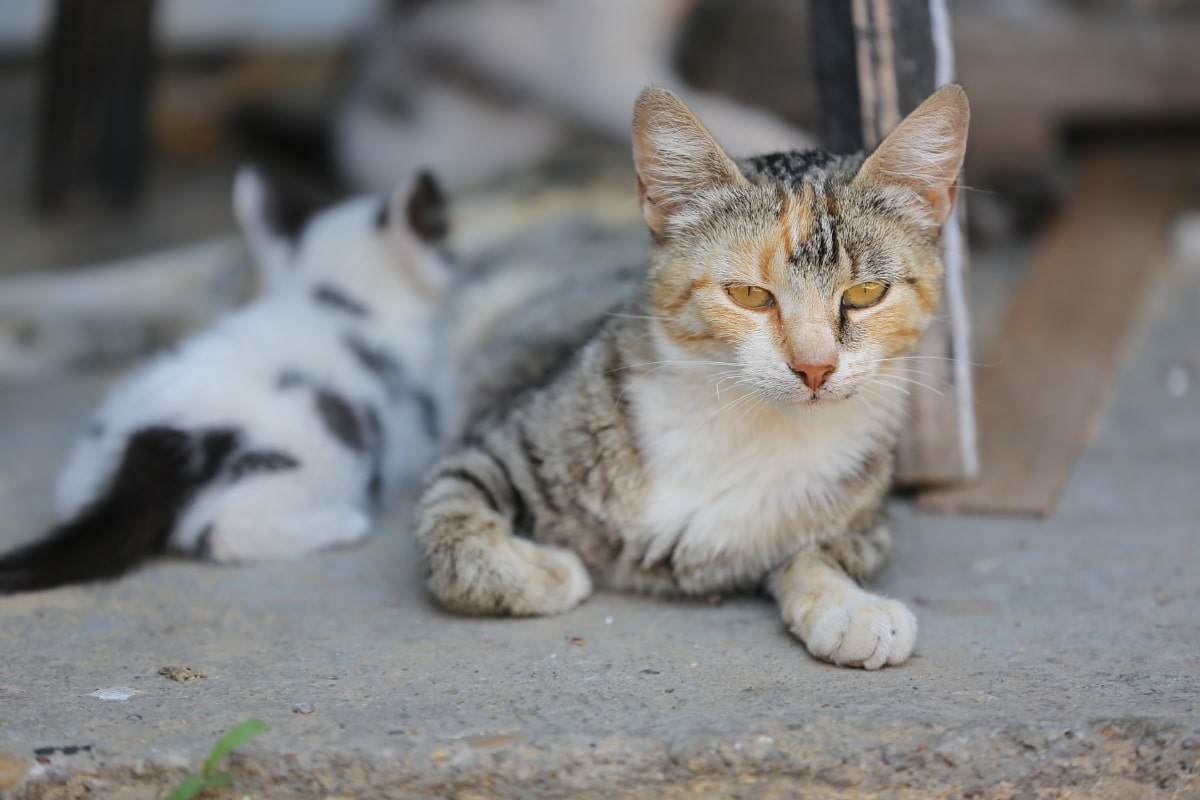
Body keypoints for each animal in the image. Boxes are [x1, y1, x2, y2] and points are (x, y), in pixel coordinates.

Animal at [0, 169, 451, 594]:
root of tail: (153, 441)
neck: (332, 300)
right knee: (219, 536)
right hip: (311, 462)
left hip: (83, 474)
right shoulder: (414, 416)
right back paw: (344, 524)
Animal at [417, 84, 969, 671]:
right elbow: (452, 526)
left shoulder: (865, 521)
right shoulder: (495, 440)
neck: (742, 424)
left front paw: (849, 608)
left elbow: (820, 550)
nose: (815, 366)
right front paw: (551, 573)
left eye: (866, 293)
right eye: (749, 294)